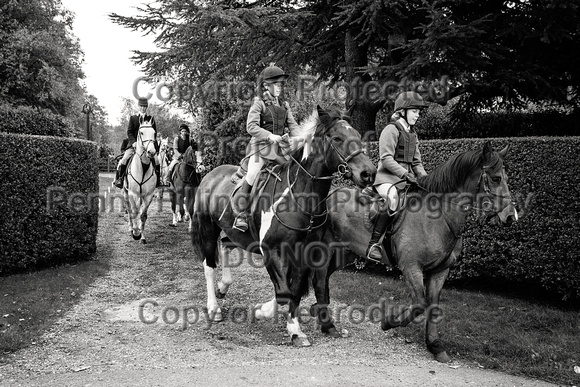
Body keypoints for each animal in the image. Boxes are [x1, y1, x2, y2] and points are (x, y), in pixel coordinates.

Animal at [190, 105, 376, 346]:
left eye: (358, 136)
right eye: (337, 137)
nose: (368, 173)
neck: (298, 197)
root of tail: (210, 175)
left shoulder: (304, 252)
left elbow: (294, 290)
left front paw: (293, 327)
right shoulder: (272, 251)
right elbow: (284, 292)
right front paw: (267, 314)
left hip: (234, 234)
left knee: (225, 246)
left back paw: (224, 286)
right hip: (207, 229)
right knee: (209, 265)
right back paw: (214, 307)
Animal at [314, 142, 520, 364]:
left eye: (506, 178)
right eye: (496, 178)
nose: (511, 217)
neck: (438, 218)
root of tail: (328, 196)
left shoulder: (440, 271)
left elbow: (433, 305)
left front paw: (435, 346)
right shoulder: (412, 268)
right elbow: (420, 304)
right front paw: (388, 323)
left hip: (345, 253)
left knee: (324, 279)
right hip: (325, 250)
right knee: (319, 281)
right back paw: (326, 324)